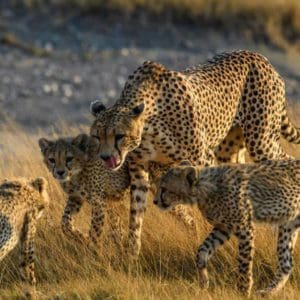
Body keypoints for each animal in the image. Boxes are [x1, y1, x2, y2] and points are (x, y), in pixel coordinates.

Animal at [89, 50, 300, 256]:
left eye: (119, 136)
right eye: (97, 136)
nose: (105, 157)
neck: (149, 123)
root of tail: (258, 56)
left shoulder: (203, 159)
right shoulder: (140, 170)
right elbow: (136, 215)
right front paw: (131, 254)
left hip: (261, 141)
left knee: (285, 161)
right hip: (229, 148)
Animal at [154, 161, 300, 296]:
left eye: (164, 188)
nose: (155, 201)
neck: (205, 188)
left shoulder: (244, 228)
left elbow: (244, 264)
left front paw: (243, 291)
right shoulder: (223, 228)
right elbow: (202, 250)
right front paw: (204, 282)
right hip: (288, 224)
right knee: (286, 264)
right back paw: (268, 292)